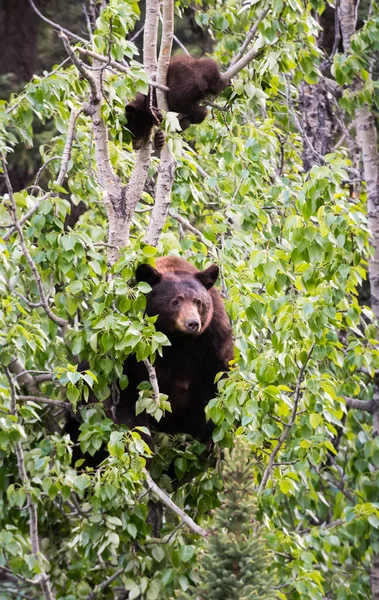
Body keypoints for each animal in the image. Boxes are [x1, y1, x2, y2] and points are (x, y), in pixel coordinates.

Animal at [114, 255, 235, 438]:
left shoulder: (214, 337)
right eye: (175, 301)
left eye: (198, 302)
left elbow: (216, 382)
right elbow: (127, 395)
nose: (193, 323)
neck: (176, 339)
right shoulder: (129, 350)